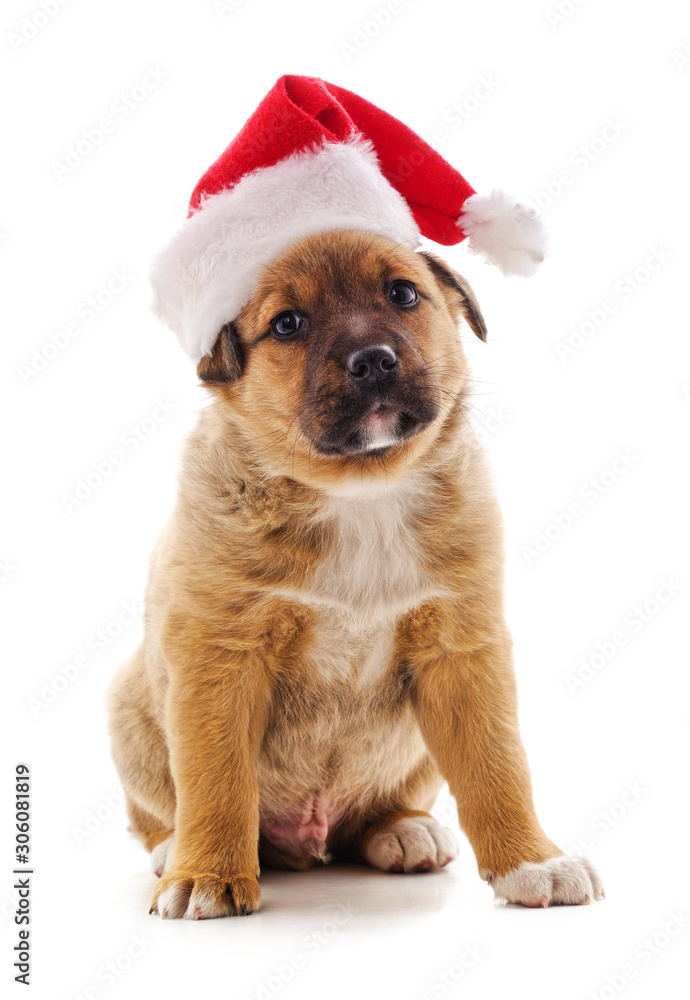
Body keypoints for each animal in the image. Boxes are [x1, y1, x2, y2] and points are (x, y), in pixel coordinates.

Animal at [107, 230, 600, 916]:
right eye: (287, 324)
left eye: (402, 293)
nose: (372, 361)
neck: (361, 493)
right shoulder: (221, 655)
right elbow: (216, 778)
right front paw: (206, 874)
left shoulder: (462, 649)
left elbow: (497, 763)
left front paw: (533, 861)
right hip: (129, 711)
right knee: (157, 810)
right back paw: (172, 849)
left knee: (382, 809)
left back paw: (403, 829)